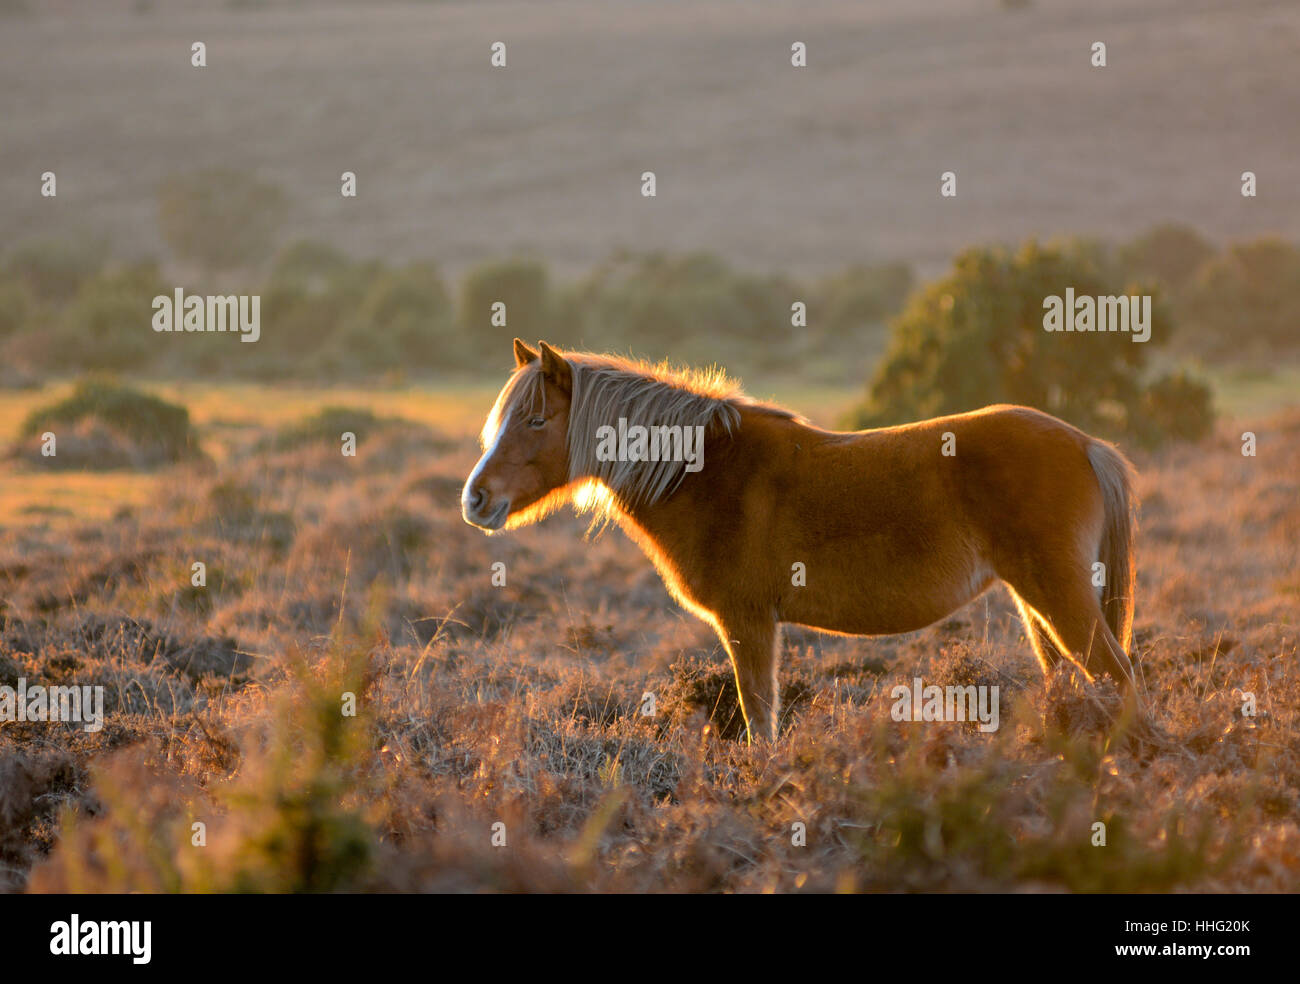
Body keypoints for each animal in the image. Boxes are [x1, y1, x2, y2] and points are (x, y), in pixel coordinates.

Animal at [462, 340, 1133, 738]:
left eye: (536, 420)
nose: (476, 499)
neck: (705, 471)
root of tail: (1086, 444)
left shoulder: (749, 622)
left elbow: (760, 717)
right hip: (1035, 602)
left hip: (1060, 597)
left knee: (1118, 677)